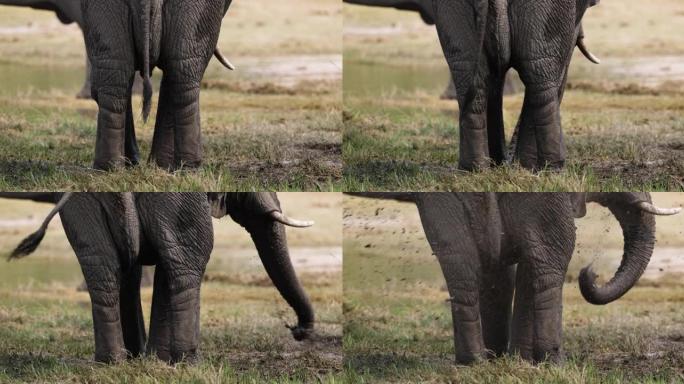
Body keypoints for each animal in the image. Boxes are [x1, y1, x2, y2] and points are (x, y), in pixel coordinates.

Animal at [1, 192, 316, 364]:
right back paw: (189, 362)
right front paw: (158, 359)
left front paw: (151, 358)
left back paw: (112, 362)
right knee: (189, 263)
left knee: (103, 270)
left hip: (84, 205)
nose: (296, 330)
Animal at [348, 194, 680, 364]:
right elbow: (552, 249)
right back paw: (473, 362)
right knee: (461, 262)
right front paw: (549, 363)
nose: (591, 272)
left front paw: (516, 360)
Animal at [436, 0, 600, 171]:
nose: (508, 161)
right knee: (540, 78)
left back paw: (474, 169)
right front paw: (524, 166)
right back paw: (550, 168)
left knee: (471, 75)